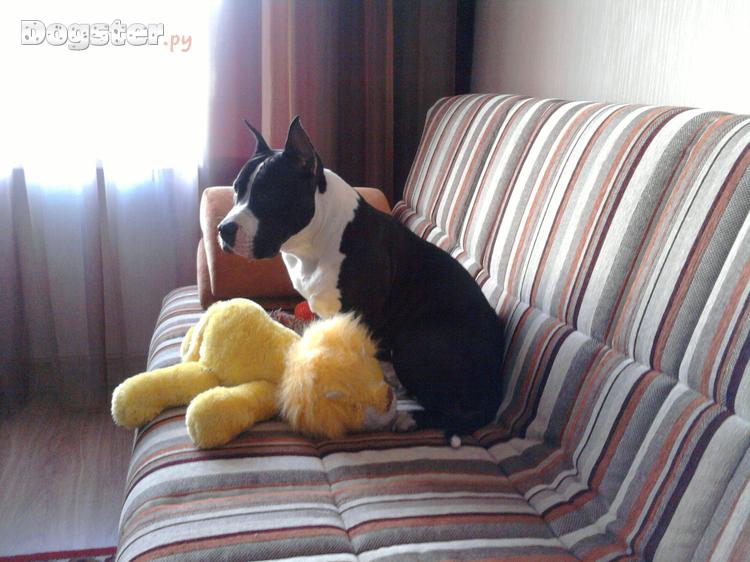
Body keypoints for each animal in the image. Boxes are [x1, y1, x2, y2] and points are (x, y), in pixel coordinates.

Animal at [218, 117, 505, 443]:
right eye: (236, 191)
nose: (223, 229)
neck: (316, 239)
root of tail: (497, 376)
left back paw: (410, 418)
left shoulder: (357, 315)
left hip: (414, 340)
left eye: (268, 195)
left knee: (451, 408)